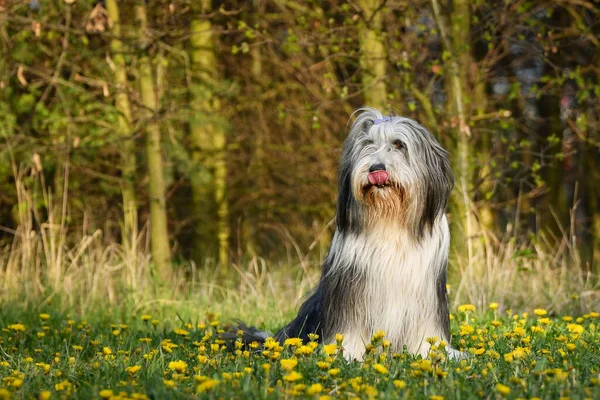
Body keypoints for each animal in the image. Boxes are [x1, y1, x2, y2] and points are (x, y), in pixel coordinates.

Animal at [232, 106, 462, 360]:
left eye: (399, 144)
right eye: (368, 143)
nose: (376, 169)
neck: (389, 219)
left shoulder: (425, 290)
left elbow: (426, 327)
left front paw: (430, 352)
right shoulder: (351, 284)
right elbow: (350, 324)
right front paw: (347, 354)